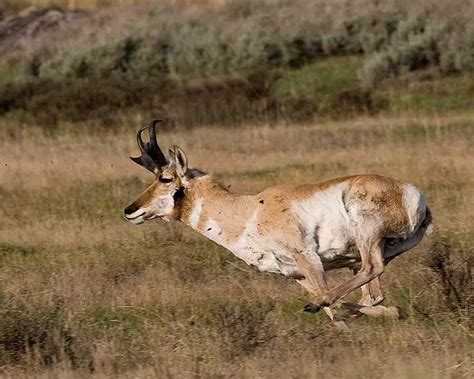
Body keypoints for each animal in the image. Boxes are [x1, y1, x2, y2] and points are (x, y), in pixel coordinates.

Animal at [125, 120, 434, 322]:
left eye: (166, 179)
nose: (130, 210)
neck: (248, 211)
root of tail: (413, 193)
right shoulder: (294, 274)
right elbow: (339, 311)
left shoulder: (308, 259)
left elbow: (333, 308)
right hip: (360, 256)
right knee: (370, 294)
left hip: (365, 237)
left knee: (371, 269)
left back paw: (319, 305)